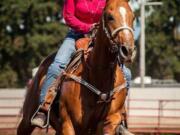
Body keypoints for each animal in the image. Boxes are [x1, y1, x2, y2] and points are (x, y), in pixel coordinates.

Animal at [17, 0, 135, 134]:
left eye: (133, 17)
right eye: (110, 17)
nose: (128, 50)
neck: (98, 75)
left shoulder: (111, 121)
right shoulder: (69, 123)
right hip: (27, 118)